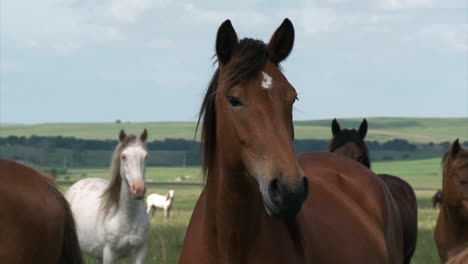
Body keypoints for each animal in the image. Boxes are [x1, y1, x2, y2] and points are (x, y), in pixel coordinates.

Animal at [66, 129, 149, 262]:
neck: (127, 218)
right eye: (123, 156)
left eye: (145, 156)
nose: (139, 189)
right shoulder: (109, 253)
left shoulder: (140, 251)